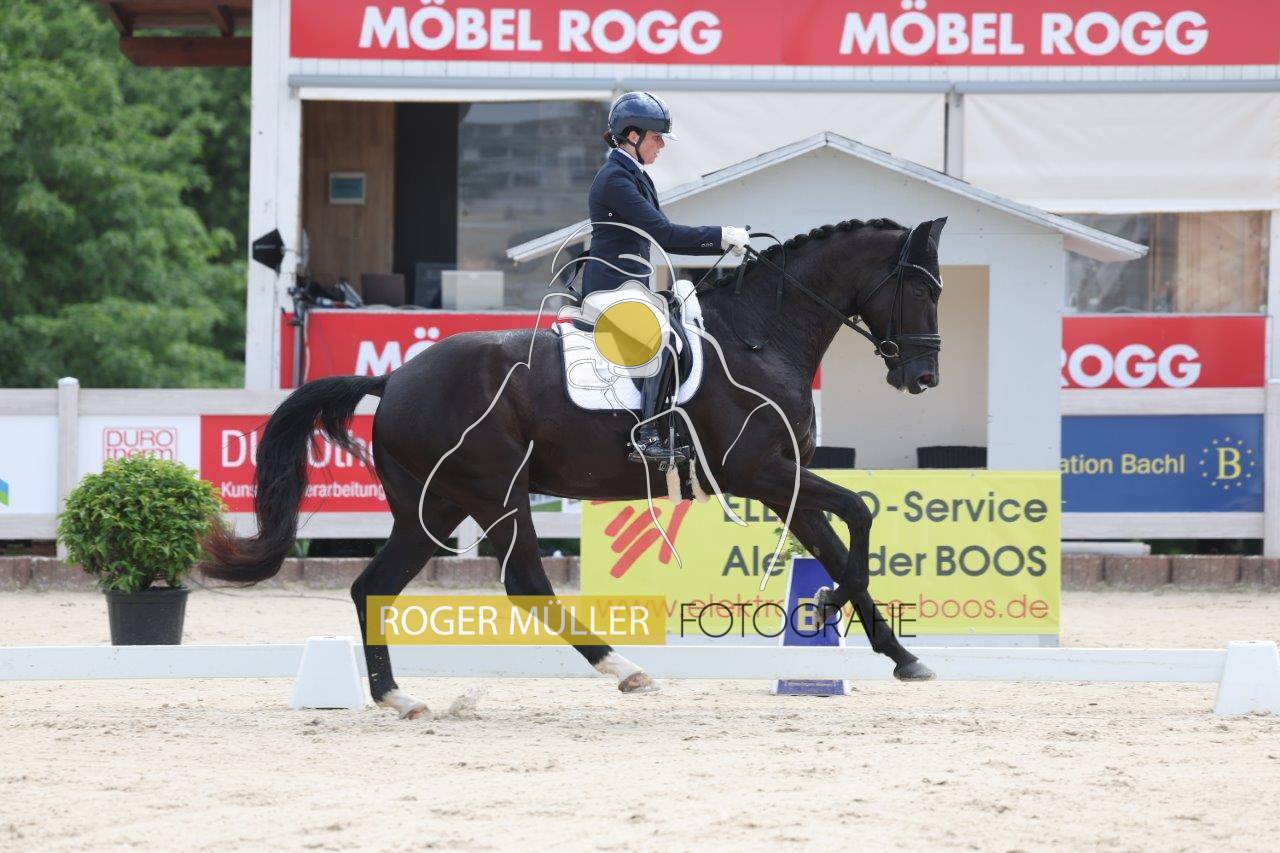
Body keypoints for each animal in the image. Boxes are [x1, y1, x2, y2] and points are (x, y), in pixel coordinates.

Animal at [200, 216, 947, 718]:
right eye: (920, 289)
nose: (923, 377)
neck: (760, 336)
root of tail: (395, 378)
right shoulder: (760, 471)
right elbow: (858, 511)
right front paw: (830, 605)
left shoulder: (780, 478)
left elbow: (836, 537)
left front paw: (897, 652)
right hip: (496, 493)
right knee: (526, 581)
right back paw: (623, 668)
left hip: (434, 506)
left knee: (371, 586)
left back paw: (397, 696)